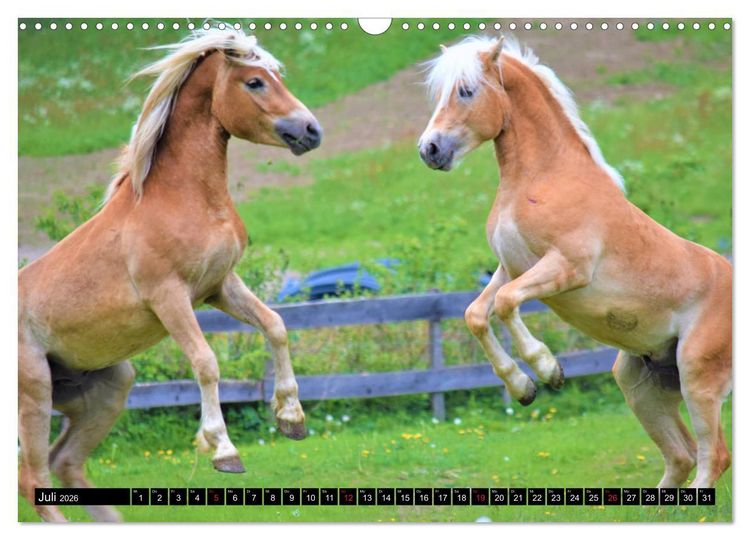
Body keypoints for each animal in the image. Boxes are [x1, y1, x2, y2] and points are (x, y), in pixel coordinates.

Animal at [18, 28, 322, 522]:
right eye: (255, 82)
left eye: (276, 75)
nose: (312, 130)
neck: (182, 198)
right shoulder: (168, 298)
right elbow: (206, 362)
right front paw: (223, 451)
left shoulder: (220, 286)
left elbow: (276, 326)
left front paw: (291, 419)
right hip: (34, 392)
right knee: (34, 479)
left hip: (109, 388)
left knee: (65, 464)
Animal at [418, 36, 732, 489]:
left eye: (466, 91)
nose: (430, 149)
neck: (543, 178)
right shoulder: (510, 267)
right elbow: (476, 314)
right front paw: (523, 389)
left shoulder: (566, 268)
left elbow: (507, 303)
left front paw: (549, 371)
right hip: (640, 383)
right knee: (682, 455)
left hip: (698, 377)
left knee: (713, 457)